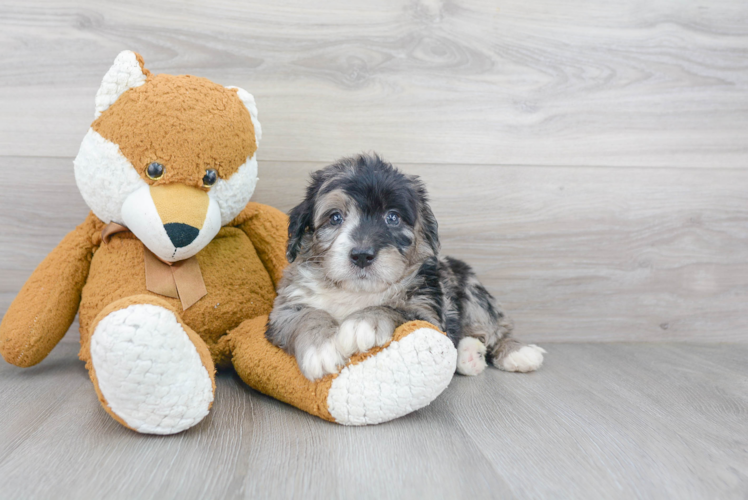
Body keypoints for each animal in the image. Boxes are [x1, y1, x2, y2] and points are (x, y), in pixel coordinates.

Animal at [268, 154, 544, 380]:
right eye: (335, 217)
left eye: (393, 217)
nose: (362, 255)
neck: (356, 292)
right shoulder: (284, 309)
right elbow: (307, 315)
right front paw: (322, 347)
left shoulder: (427, 312)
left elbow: (395, 308)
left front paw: (363, 322)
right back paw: (469, 355)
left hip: (473, 292)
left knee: (495, 329)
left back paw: (517, 352)